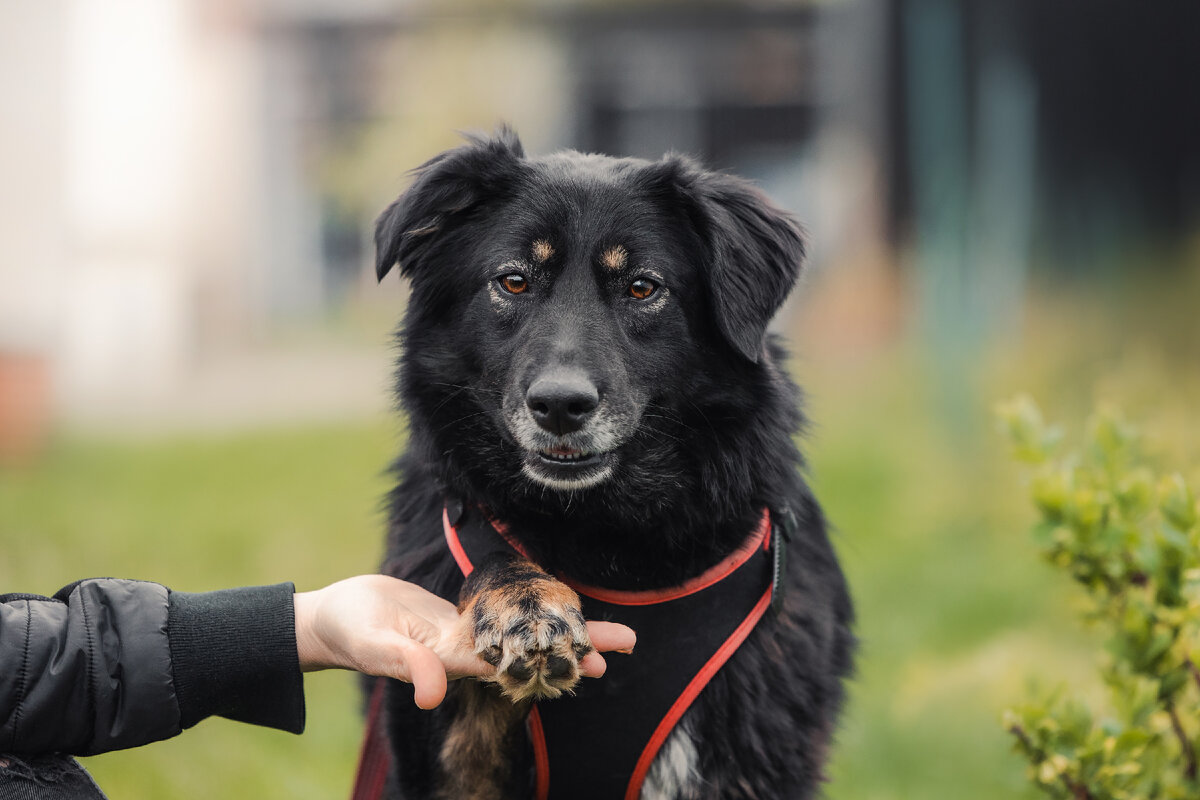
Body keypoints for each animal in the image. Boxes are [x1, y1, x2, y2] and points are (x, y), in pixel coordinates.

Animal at [374, 128, 854, 796]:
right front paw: (526, 605)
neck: (608, 531)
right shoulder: (453, 763)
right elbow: (495, 556)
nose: (560, 405)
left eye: (642, 288)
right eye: (514, 282)